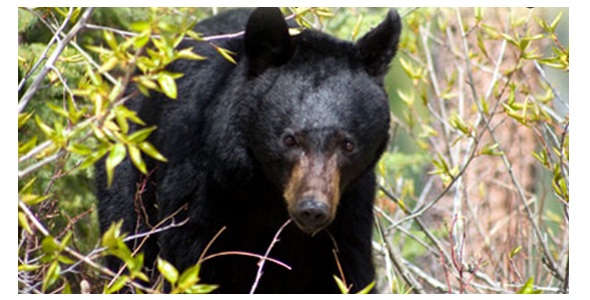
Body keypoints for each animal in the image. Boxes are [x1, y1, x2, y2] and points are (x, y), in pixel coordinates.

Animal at [97, 6, 402, 292]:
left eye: (348, 144)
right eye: (289, 139)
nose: (313, 209)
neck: (267, 192)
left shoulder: (349, 210)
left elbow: (346, 273)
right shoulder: (200, 187)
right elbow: (191, 262)